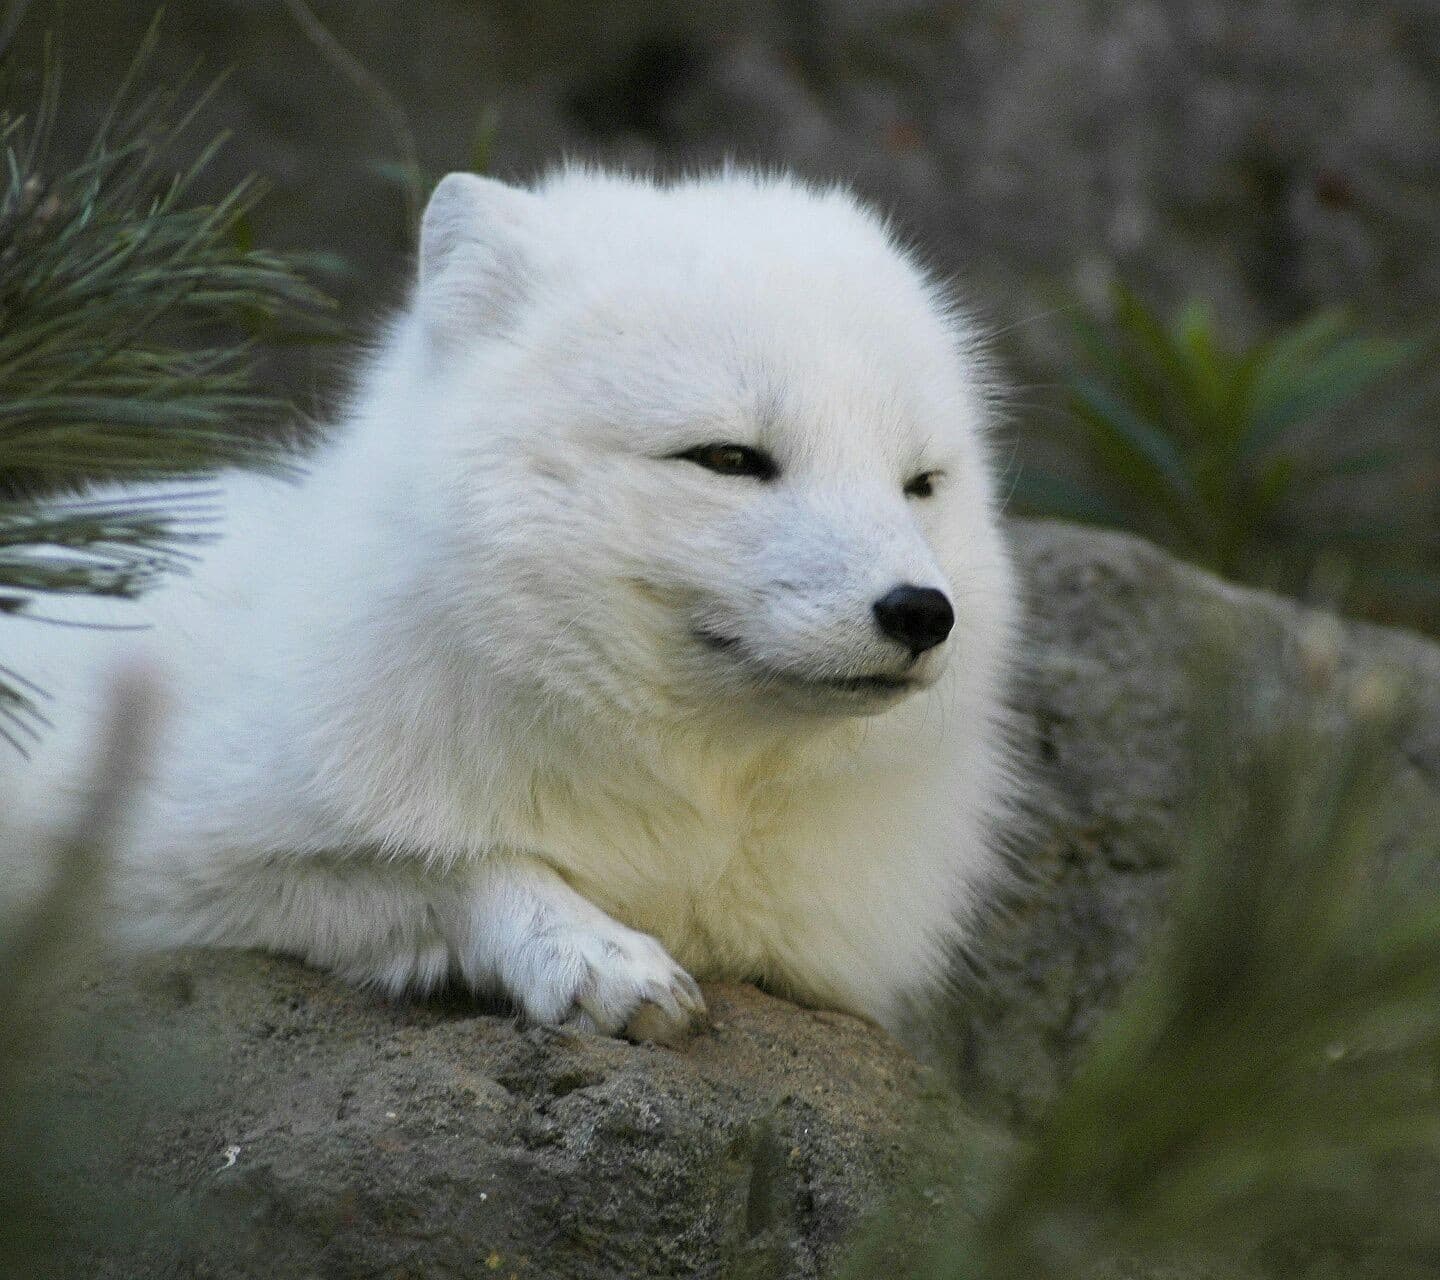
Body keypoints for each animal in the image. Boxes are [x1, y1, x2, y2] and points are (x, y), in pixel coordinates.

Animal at [1, 167, 1019, 1044]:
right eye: (730, 459)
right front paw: (591, 952)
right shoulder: (154, 867)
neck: (694, 809)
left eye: (920, 484)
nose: (922, 612)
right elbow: (452, 861)